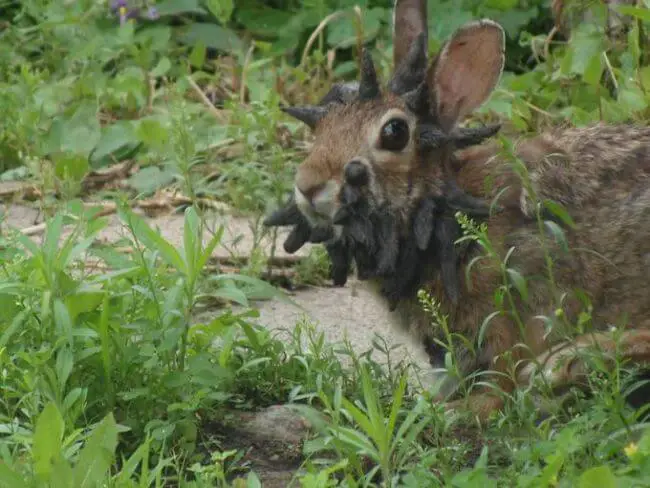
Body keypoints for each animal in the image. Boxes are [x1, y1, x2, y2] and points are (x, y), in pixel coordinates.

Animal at [262, 0, 648, 420]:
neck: (444, 211)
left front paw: (457, 410)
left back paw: (569, 362)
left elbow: (501, 381)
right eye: (324, 124)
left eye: (394, 133)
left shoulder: (512, 309)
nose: (308, 185)